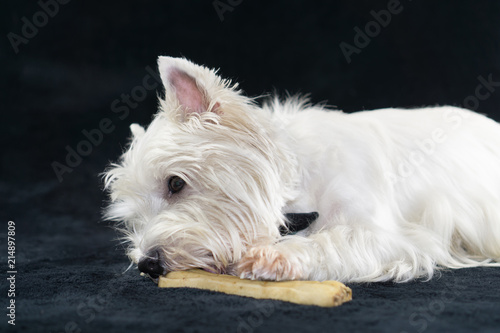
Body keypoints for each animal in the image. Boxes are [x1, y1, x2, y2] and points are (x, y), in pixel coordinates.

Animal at [103, 56, 498, 280]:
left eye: (175, 183)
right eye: (132, 217)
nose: (148, 264)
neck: (300, 184)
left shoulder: (385, 233)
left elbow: (332, 241)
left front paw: (275, 256)